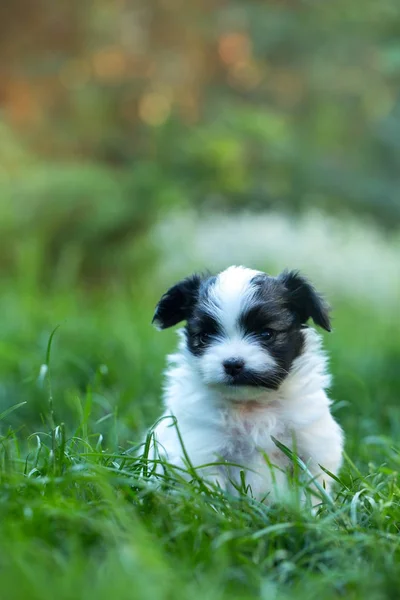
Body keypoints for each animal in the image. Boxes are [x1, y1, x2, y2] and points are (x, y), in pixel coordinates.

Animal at [150, 266, 344, 502]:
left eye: (266, 333)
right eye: (205, 336)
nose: (232, 364)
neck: (251, 404)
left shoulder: (312, 448)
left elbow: (312, 491)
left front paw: (314, 511)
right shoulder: (202, 452)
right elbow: (210, 490)